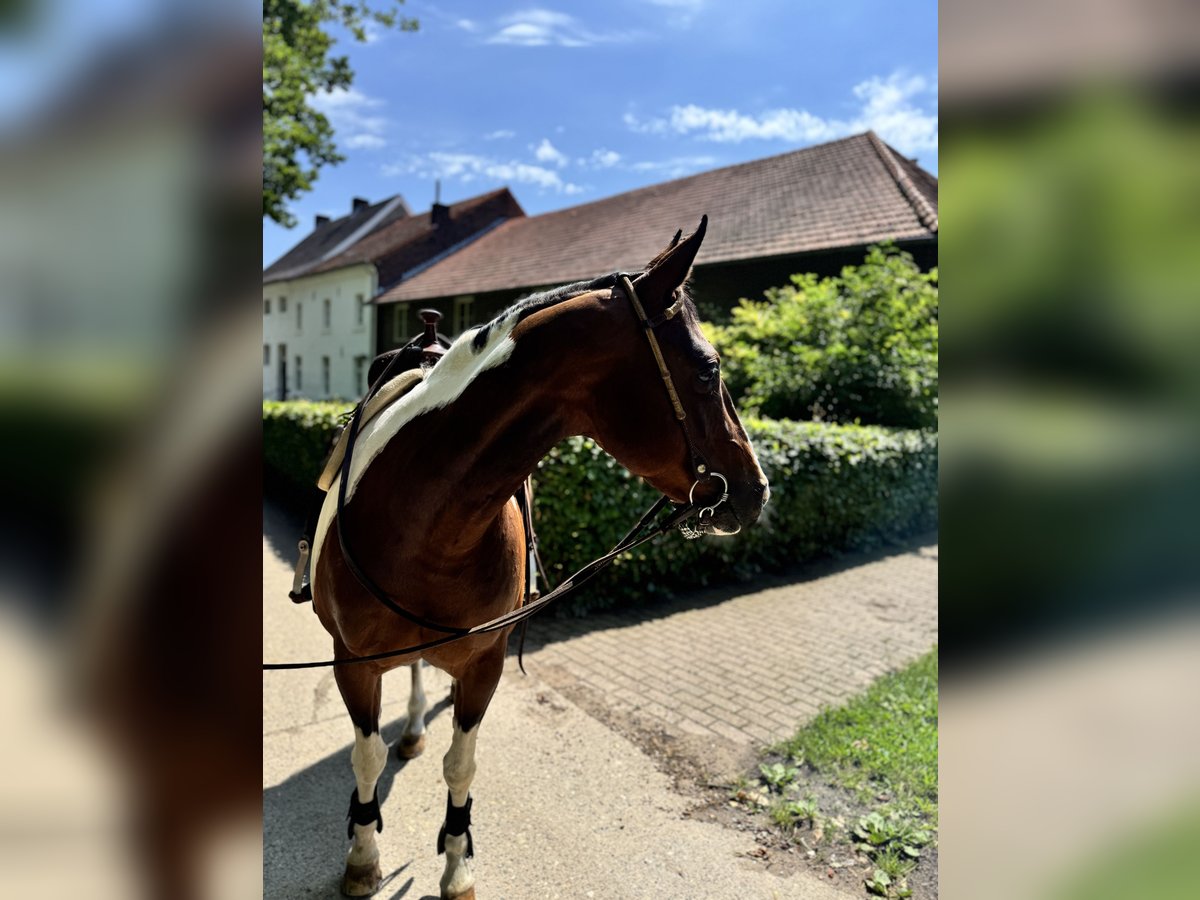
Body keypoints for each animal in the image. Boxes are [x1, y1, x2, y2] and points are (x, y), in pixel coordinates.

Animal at [309, 217, 769, 898]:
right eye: (709, 369)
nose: (757, 488)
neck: (425, 528)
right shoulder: (353, 664)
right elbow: (365, 757)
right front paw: (363, 855)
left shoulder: (485, 665)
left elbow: (461, 764)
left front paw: (457, 864)